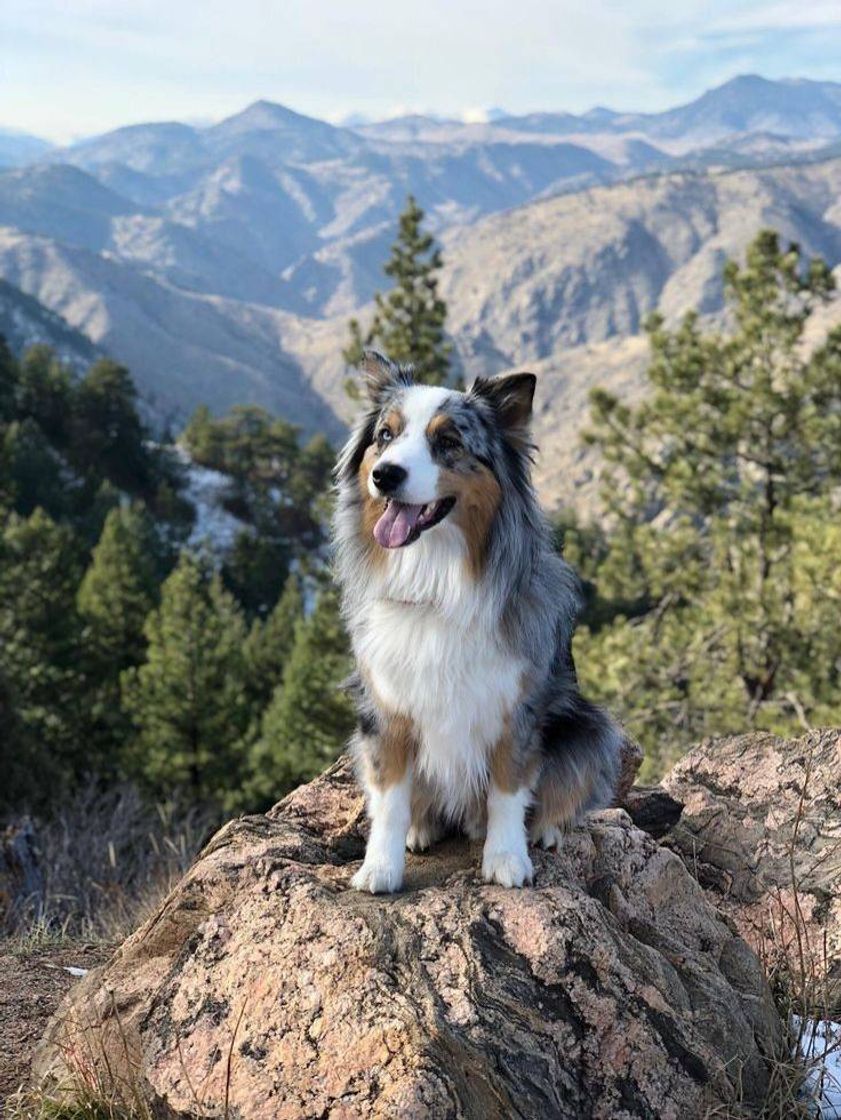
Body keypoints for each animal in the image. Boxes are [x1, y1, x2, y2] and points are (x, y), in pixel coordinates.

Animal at [331, 349, 622, 891]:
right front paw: (380, 867)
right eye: (385, 434)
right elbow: (390, 796)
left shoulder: (516, 706)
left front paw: (507, 859)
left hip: (591, 728)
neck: (435, 581)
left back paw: (544, 832)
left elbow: (509, 789)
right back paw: (422, 828)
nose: (385, 474)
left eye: (448, 441)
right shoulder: (386, 708)